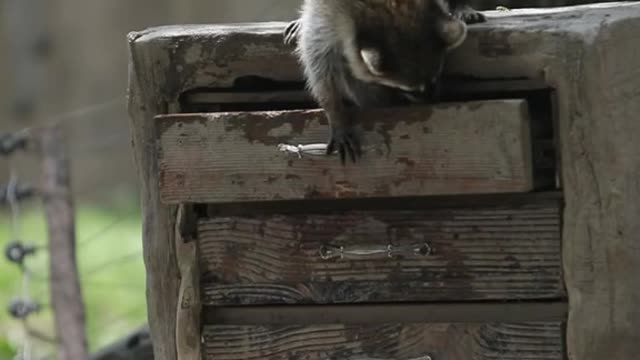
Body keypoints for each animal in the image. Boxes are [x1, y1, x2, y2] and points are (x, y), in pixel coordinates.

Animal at [284, 0, 484, 165]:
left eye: (435, 81)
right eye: (410, 91)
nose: (430, 104)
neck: (390, 8)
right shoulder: (329, 11)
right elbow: (317, 57)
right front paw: (334, 109)